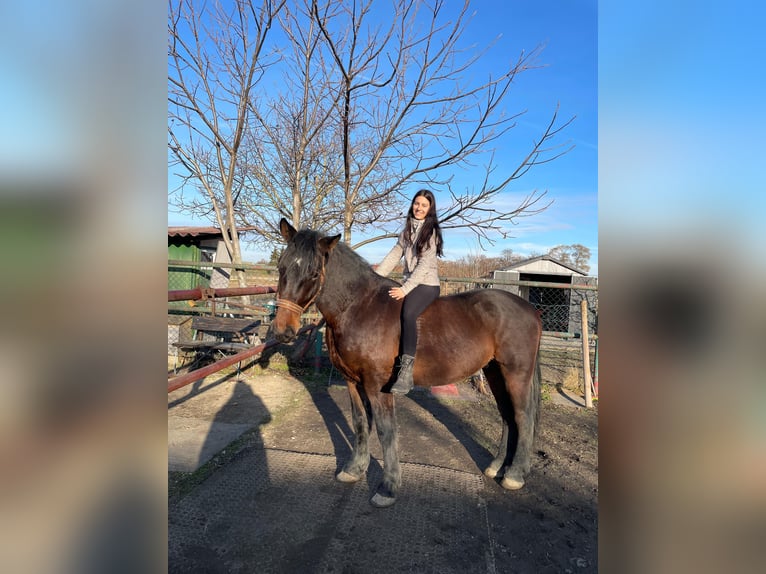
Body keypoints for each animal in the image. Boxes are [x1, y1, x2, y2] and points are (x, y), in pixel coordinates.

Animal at [272, 219, 544, 508]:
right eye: (281, 267)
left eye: (313, 274)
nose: (283, 331)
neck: (358, 308)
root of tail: (530, 310)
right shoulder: (353, 382)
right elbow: (360, 423)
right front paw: (354, 469)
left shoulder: (377, 386)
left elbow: (386, 430)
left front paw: (388, 487)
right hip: (495, 371)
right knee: (507, 416)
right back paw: (497, 467)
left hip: (516, 374)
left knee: (523, 416)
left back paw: (515, 475)